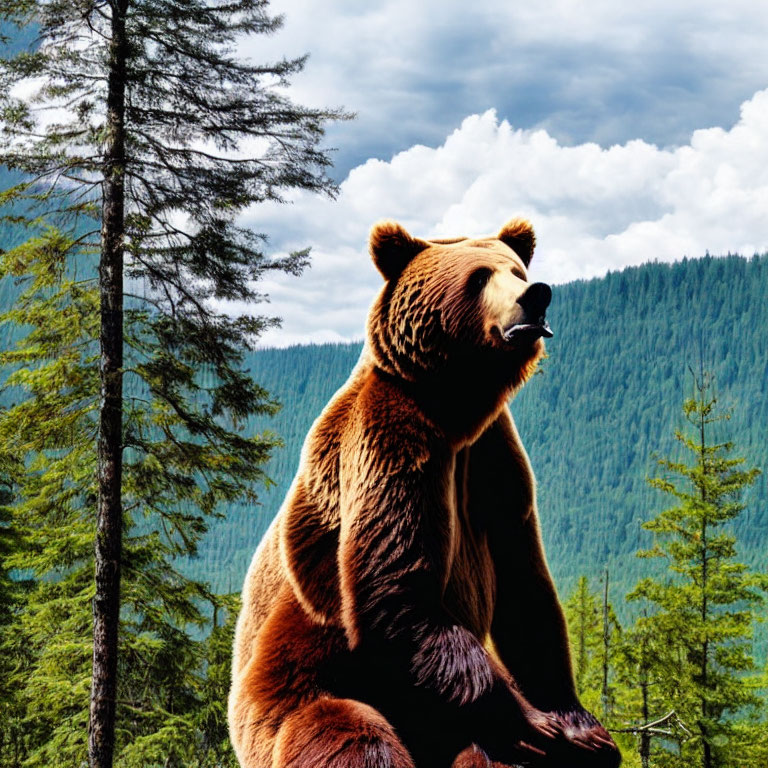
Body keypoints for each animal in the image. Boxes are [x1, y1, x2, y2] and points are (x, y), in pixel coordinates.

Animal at [226, 218, 616, 768]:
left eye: (517, 271)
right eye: (479, 276)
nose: (535, 296)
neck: (456, 412)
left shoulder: (495, 459)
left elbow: (525, 588)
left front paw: (582, 728)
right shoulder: (390, 438)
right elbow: (396, 589)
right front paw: (536, 726)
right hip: (294, 691)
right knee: (348, 735)